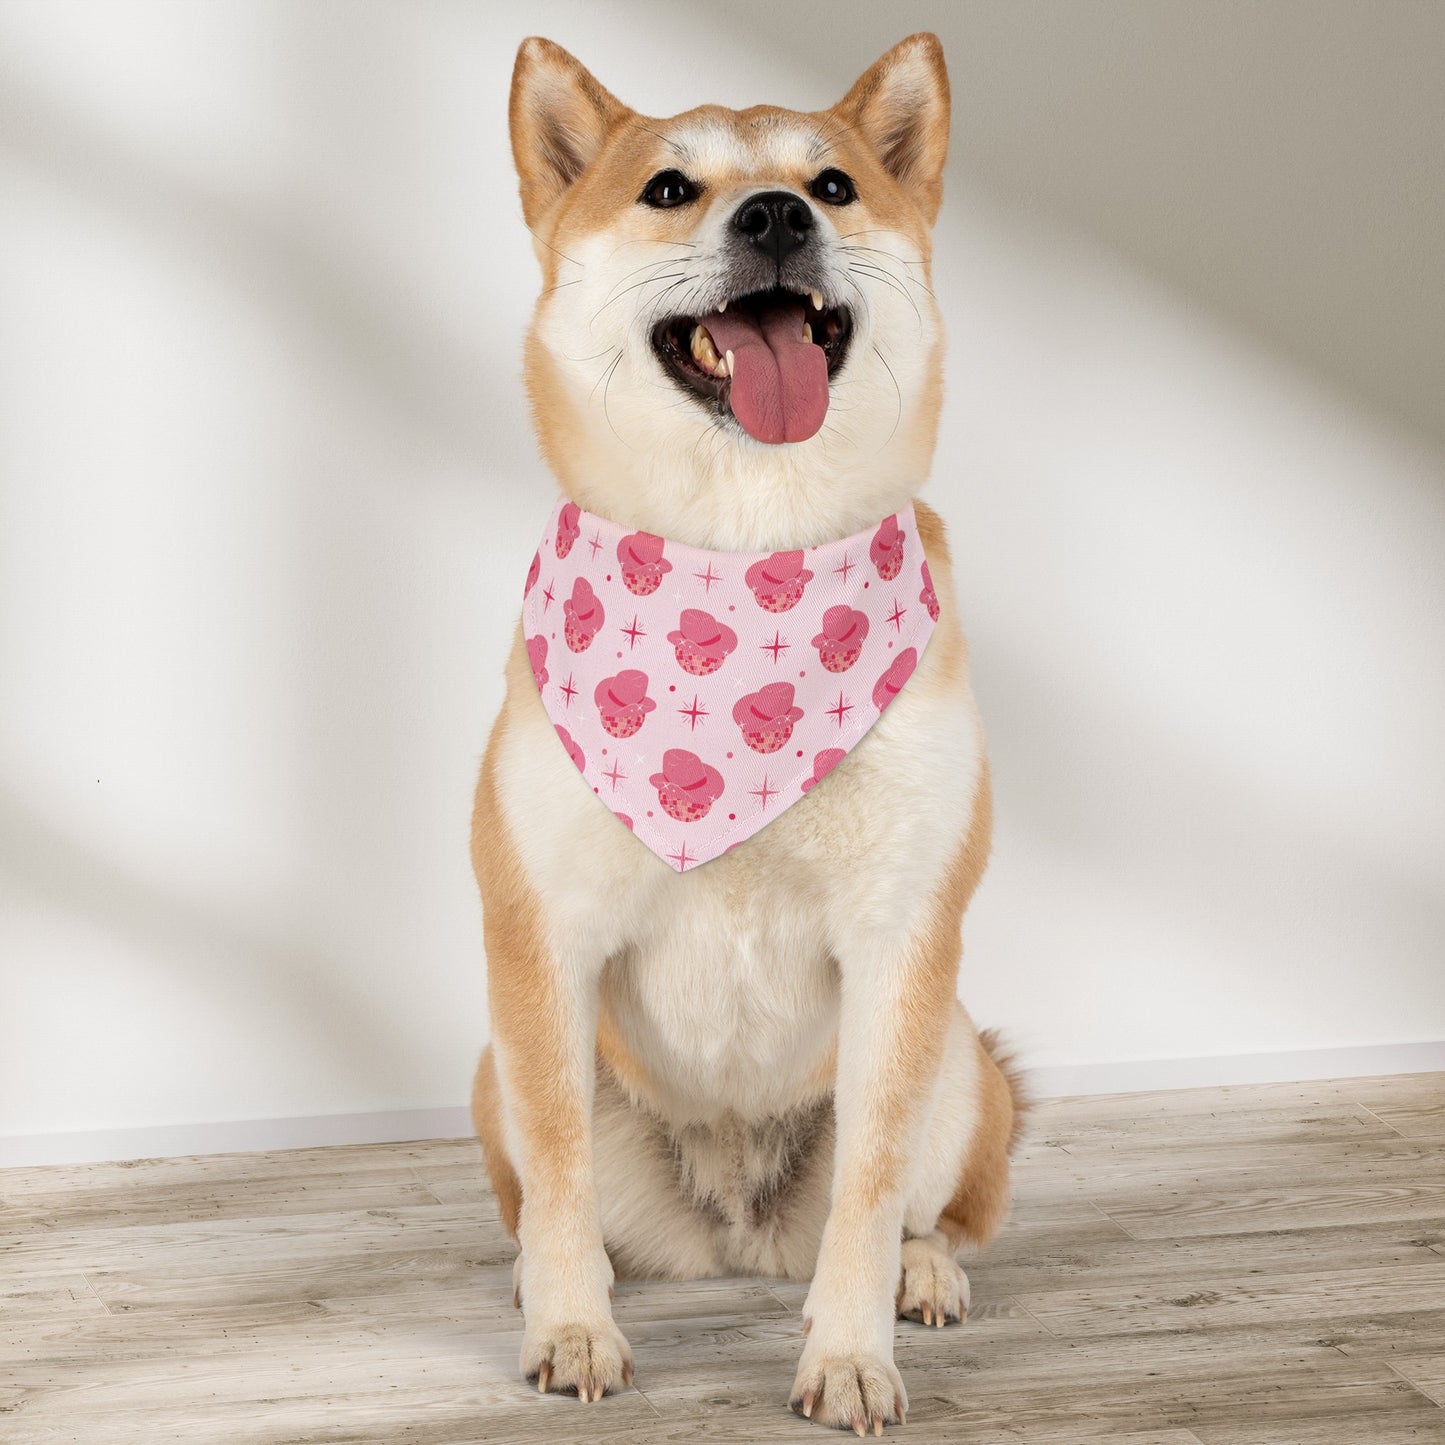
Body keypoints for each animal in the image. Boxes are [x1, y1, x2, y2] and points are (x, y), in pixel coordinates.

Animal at [471, 31, 1028, 1433]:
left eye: (831, 184)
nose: (773, 214)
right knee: (545, 1195)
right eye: (669, 189)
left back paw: (923, 1272)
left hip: (959, 1060)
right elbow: (559, 1173)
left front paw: (849, 1351)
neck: (742, 562)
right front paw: (572, 1326)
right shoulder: (540, 937)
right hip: (492, 1068)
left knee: (930, 1205)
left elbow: (870, 1188)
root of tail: (730, 1230)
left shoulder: (900, 940)